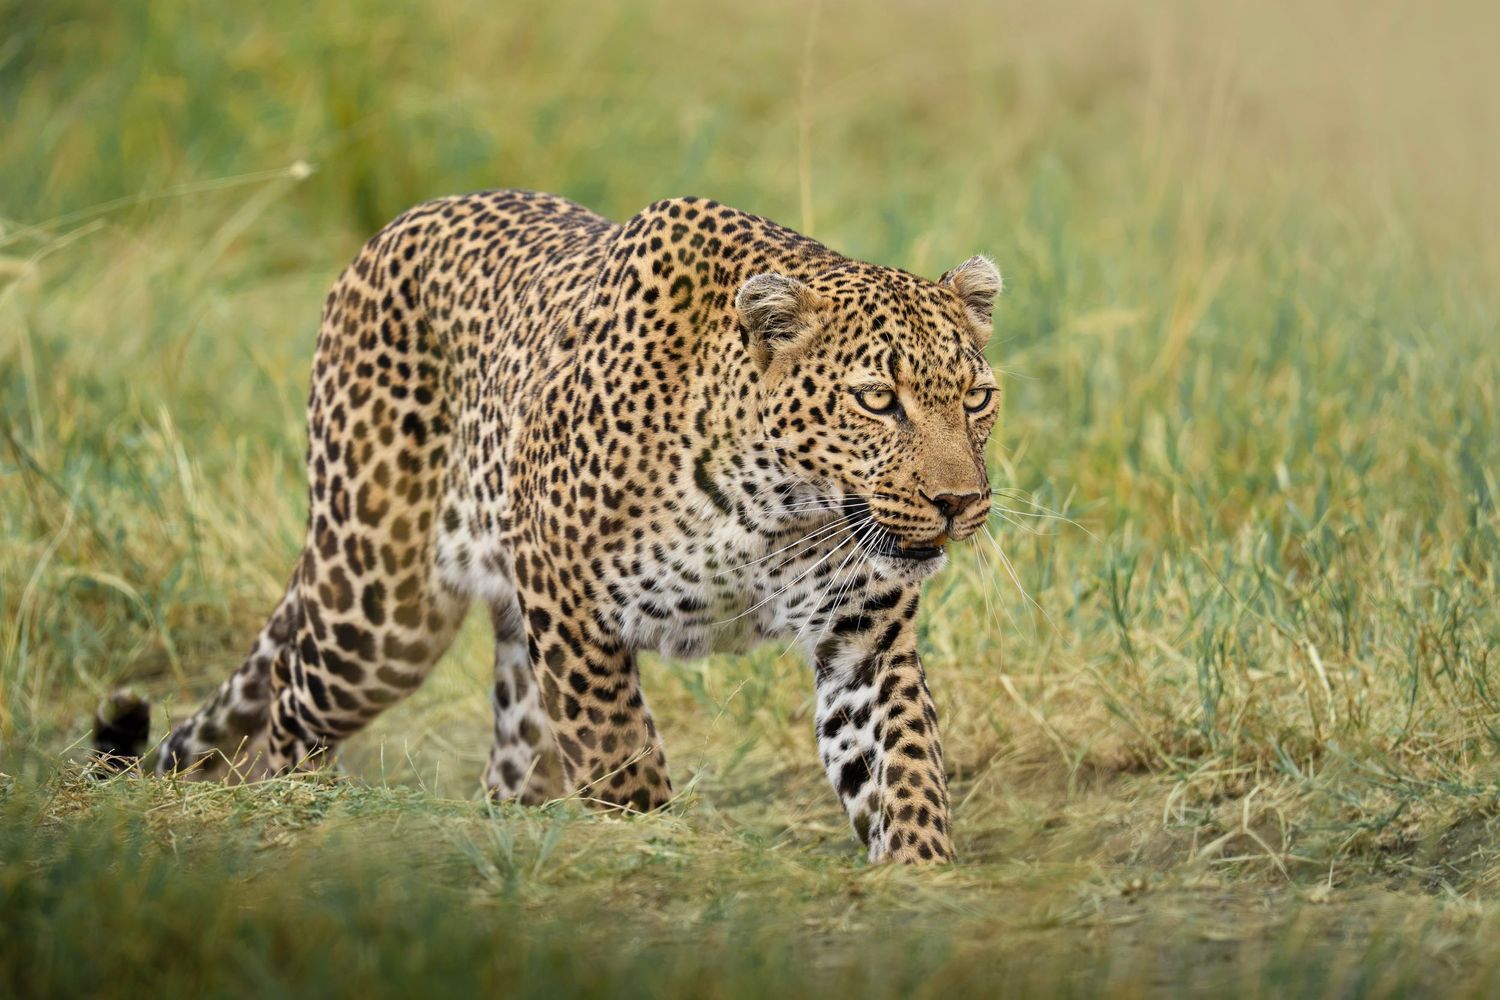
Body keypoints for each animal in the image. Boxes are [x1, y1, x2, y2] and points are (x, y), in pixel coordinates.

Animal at [93, 189, 1004, 864]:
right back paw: (291, 809)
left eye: (976, 398)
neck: (778, 510)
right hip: (381, 613)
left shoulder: (863, 638)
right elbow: (618, 749)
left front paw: (921, 877)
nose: (959, 501)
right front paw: (651, 846)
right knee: (286, 712)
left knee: (507, 761)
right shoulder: (570, 597)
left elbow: (903, 769)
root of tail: (385, 234)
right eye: (877, 400)